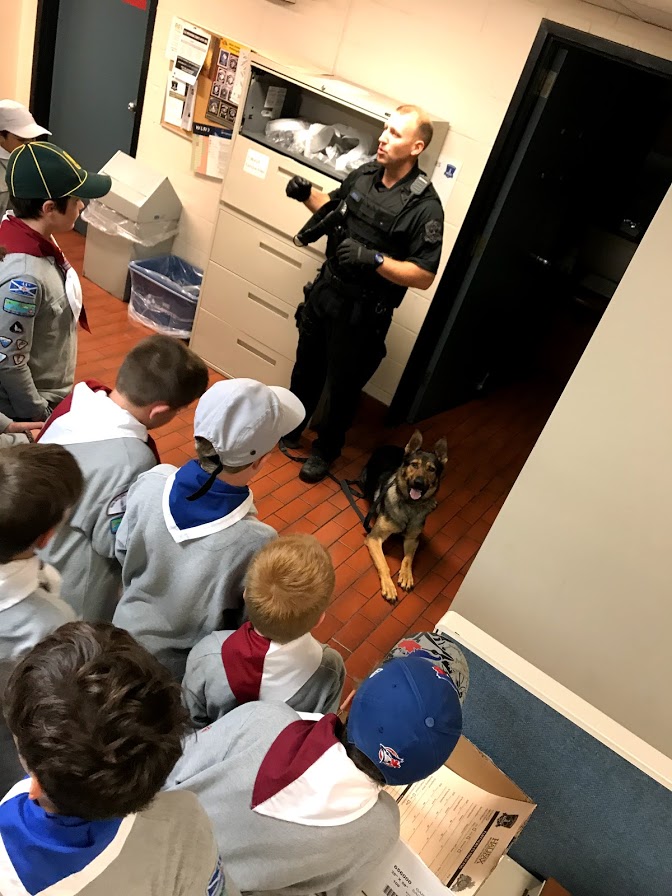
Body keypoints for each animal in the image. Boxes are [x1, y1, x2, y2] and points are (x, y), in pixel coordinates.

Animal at [362, 432, 446, 600]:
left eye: (431, 469)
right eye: (414, 465)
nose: (418, 483)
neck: (410, 506)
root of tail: (386, 446)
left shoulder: (413, 539)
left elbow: (408, 559)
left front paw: (407, 576)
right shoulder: (374, 538)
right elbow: (384, 564)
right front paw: (389, 586)